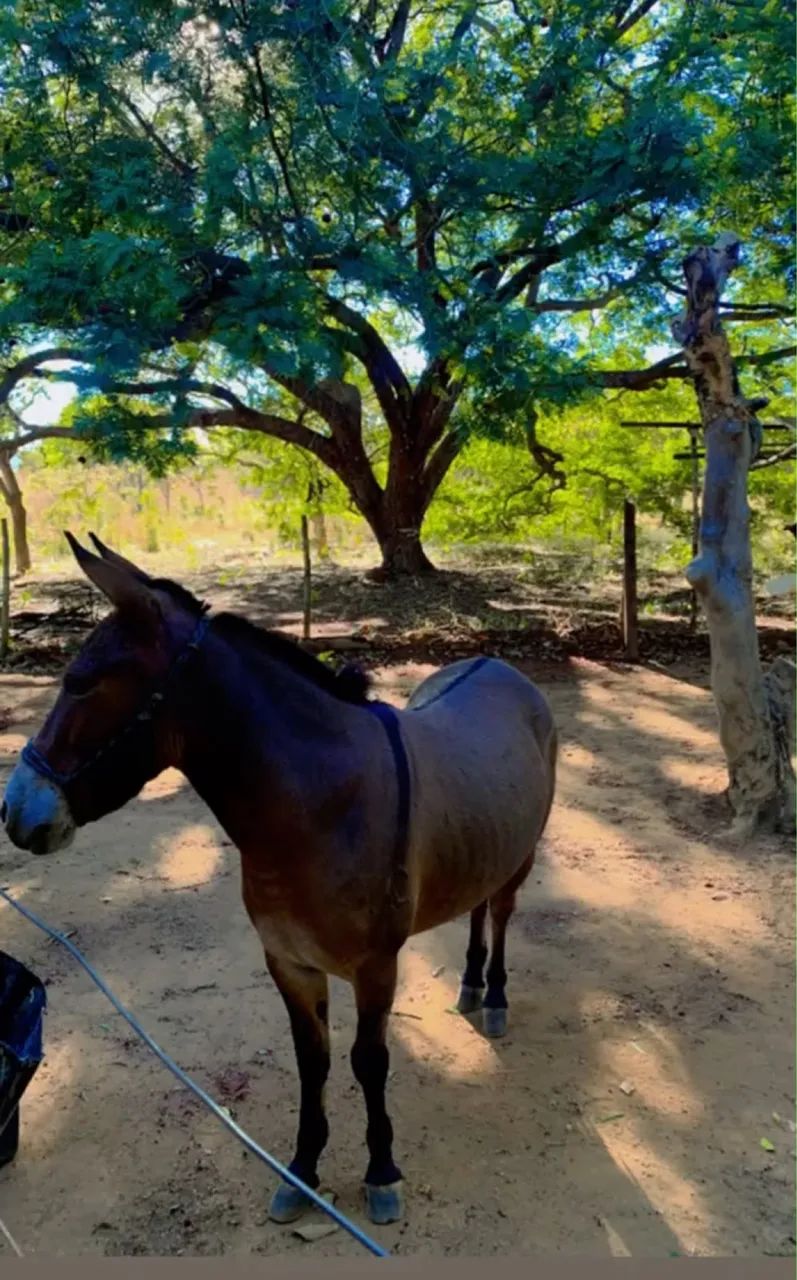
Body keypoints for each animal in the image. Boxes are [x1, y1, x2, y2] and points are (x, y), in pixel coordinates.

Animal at [1, 533, 558, 1227]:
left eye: (80, 684)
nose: (14, 810)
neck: (319, 807)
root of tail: (497, 663)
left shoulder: (377, 968)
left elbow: (369, 1061)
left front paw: (380, 1172)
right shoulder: (289, 962)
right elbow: (311, 1061)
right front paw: (303, 1169)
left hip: (521, 858)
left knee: (501, 912)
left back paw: (496, 995)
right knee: (478, 905)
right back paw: (471, 985)